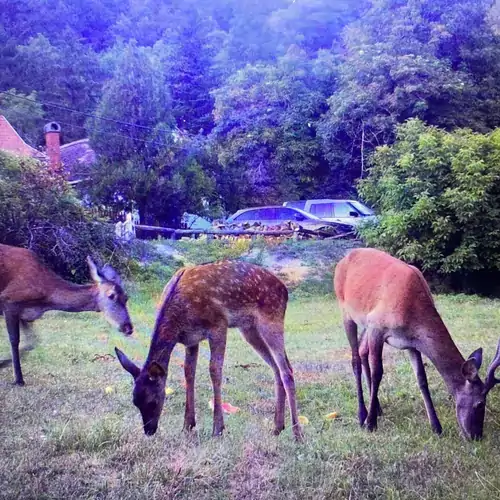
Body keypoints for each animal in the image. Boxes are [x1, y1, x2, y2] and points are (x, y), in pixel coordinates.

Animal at [0, 244, 133, 384]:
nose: (128, 327)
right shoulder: (9, 301)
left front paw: (3, 364)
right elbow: (14, 340)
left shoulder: (24, 314)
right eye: (111, 295)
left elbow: (33, 340)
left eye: (126, 298)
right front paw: (18, 379)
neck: (46, 297)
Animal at [113, 262, 302, 442]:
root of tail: (285, 290)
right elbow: (189, 372)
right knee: (276, 368)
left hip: (272, 318)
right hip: (249, 328)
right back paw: (277, 428)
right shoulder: (191, 339)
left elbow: (214, 370)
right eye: (135, 402)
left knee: (287, 370)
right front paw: (187, 425)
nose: (149, 431)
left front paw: (218, 429)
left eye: (153, 402)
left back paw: (297, 433)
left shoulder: (219, 325)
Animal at [332, 248, 500, 440]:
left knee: (362, 350)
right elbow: (378, 373)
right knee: (355, 359)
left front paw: (436, 427)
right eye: (480, 403)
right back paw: (362, 415)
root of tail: (343, 259)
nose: (476, 436)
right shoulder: (377, 327)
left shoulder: (411, 342)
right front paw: (370, 424)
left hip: (365, 322)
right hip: (346, 310)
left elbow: (422, 379)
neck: (411, 309)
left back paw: (378, 408)